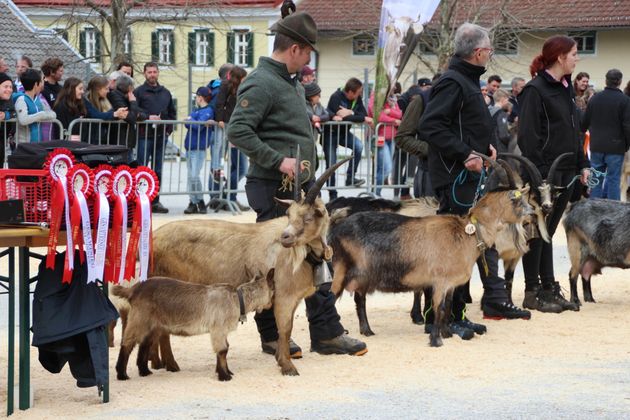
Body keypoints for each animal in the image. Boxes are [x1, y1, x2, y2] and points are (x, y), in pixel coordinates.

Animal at [112, 269, 274, 381]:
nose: (272, 305)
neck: (237, 299)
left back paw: (144, 371)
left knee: (144, 344)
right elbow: (222, 350)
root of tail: (133, 289)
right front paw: (224, 376)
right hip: (139, 321)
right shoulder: (218, 329)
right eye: (273, 292)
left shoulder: (221, 331)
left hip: (153, 326)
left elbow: (224, 349)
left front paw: (225, 371)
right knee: (127, 343)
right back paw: (122, 374)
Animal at [147, 159, 348, 376]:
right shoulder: (284, 297)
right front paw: (287, 366)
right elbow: (285, 330)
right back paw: (171, 364)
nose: (285, 237)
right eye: (289, 215)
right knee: (163, 329)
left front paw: (281, 359)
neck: (302, 255)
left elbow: (288, 329)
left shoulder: (292, 299)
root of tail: (154, 237)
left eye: (308, 217)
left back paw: (157, 363)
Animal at [330, 155, 533, 347]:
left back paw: (367, 331)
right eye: (518, 201)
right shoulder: (439, 281)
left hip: (363, 276)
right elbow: (439, 309)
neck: (467, 232)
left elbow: (448, 307)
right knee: (332, 296)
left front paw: (447, 334)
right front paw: (436, 340)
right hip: (342, 270)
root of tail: (337, 228)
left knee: (359, 298)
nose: (532, 214)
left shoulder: (451, 283)